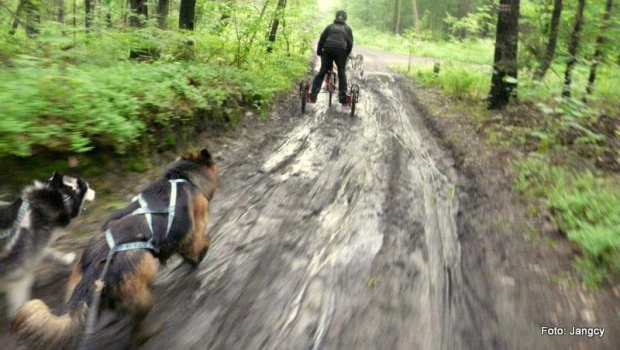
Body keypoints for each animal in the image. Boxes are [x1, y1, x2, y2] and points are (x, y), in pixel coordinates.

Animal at [0, 173, 95, 320]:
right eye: (87, 187)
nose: (95, 192)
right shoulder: (20, 276)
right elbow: (19, 302)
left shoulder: (38, 248)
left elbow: (50, 253)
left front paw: (66, 259)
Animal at [12, 148, 218, 350]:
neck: (182, 177)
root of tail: (96, 268)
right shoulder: (194, 233)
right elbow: (203, 243)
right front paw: (199, 258)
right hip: (143, 285)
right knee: (135, 330)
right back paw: (145, 335)